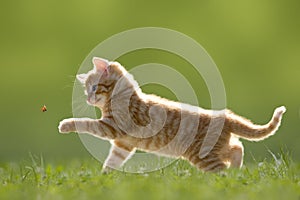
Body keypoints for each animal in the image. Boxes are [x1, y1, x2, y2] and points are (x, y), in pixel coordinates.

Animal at [58, 57, 286, 173]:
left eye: (94, 88)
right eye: (86, 91)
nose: (88, 99)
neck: (122, 96)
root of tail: (225, 116)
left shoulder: (112, 127)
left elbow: (87, 123)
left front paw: (66, 124)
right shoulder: (124, 144)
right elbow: (113, 160)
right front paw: (105, 178)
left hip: (202, 155)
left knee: (222, 169)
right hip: (216, 148)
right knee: (237, 148)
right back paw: (237, 172)